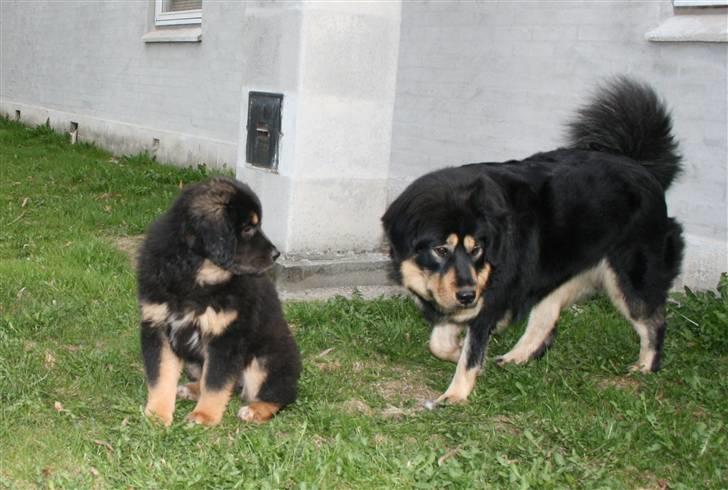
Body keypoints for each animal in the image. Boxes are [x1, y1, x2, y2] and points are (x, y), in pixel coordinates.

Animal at [138, 176, 300, 424]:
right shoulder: (157, 327)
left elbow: (215, 381)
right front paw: (157, 415)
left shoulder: (226, 335)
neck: (196, 275)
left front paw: (204, 416)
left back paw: (254, 410)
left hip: (266, 359)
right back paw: (191, 389)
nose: (276, 255)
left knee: (280, 394)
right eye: (248, 228)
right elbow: (161, 376)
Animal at [384, 76, 684, 408]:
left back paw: (646, 366)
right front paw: (456, 351)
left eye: (477, 250)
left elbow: (471, 352)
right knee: (547, 319)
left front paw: (456, 394)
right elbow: (439, 342)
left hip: (630, 277)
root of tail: (641, 167)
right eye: (440, 249)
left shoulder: (489, 297)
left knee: (654, 321)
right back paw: (517, 356)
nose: (467, 294)